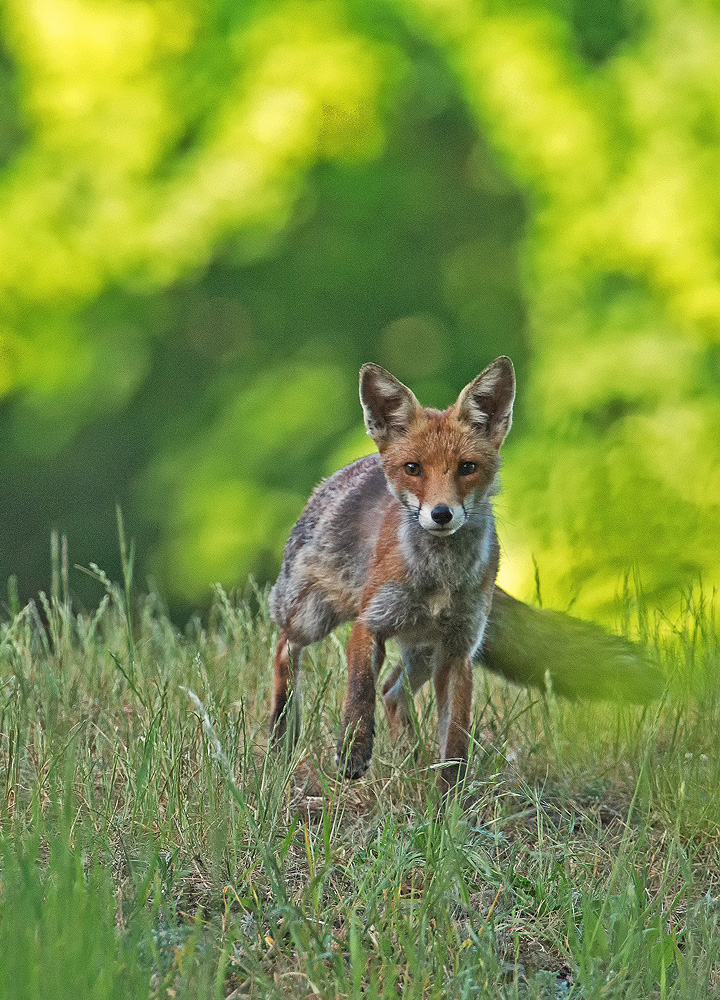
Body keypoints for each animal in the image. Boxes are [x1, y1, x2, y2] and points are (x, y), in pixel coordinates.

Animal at [269, 358, 661, 789]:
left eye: (467, 468)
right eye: (413, 469)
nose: (441, 514)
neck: (439, 578)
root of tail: (346, 471)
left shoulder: (459, 648)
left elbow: (455, 738)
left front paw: (449, 800)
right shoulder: (369, 623)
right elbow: (359, 692)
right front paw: (354, 751)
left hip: (423, 649)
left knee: (392, 691)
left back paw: (411, 761)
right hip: (313, 614)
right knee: (286, 650)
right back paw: (282, 734)